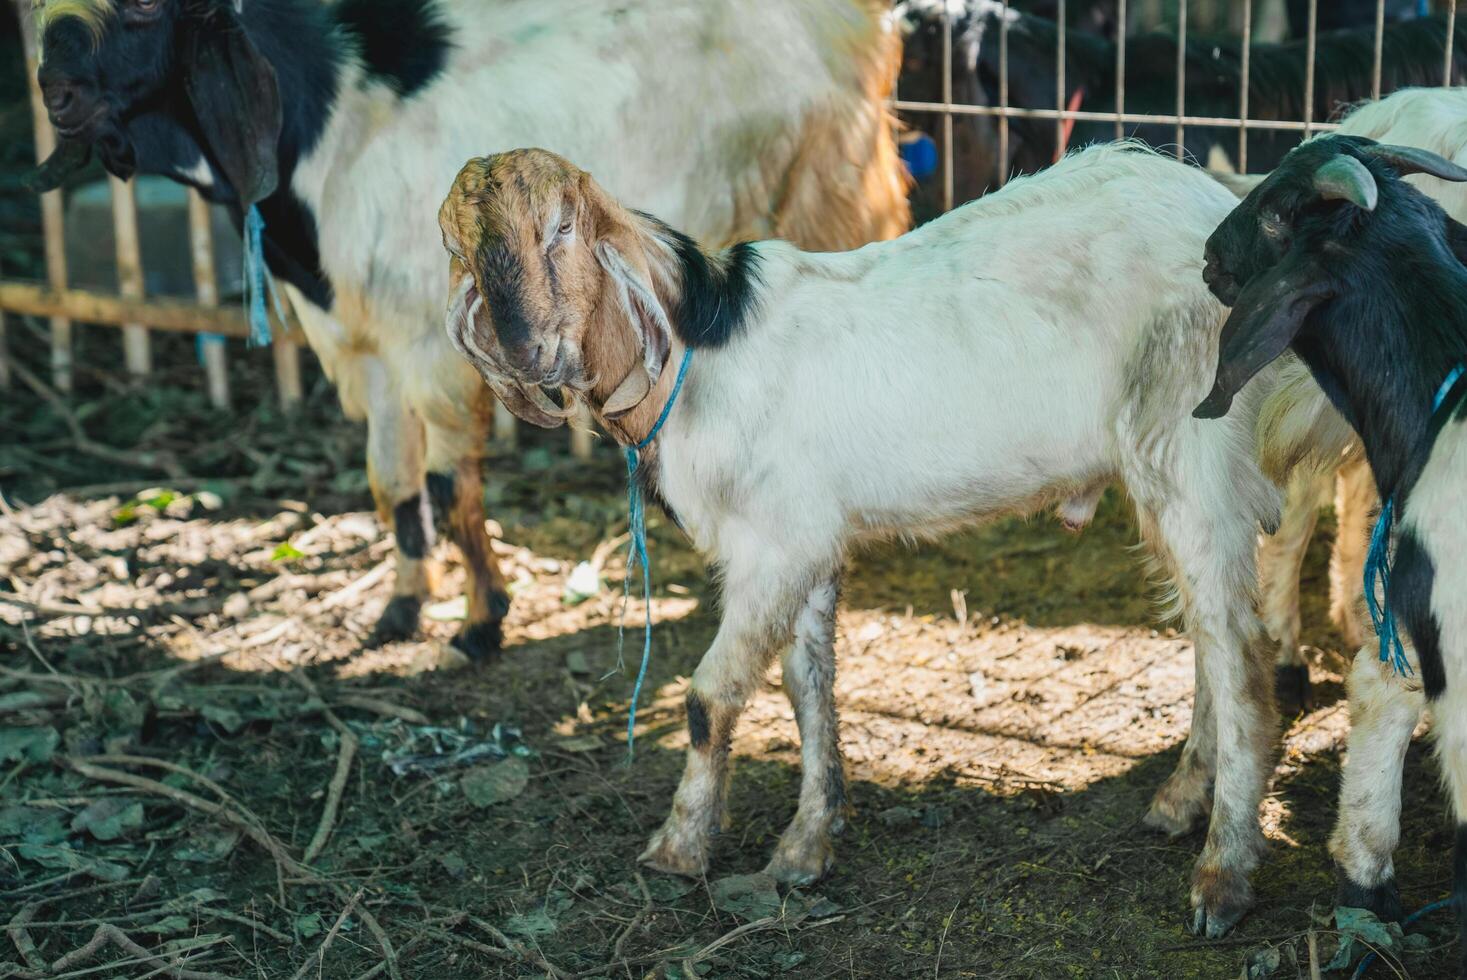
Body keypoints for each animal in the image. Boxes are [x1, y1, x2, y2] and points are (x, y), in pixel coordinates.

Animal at [28, 0, 909, 657]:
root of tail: (857, 26)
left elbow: (450, 484)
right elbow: (390, 481)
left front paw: (482, 619)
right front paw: (401, 609)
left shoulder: (432, 344)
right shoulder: (362, 343)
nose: (53, 91)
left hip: (821, 192)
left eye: (146, 8)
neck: (329, 117)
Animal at [431, 143, 1296, 933]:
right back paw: (1181, 800)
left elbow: (709, 698)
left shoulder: (772, 548)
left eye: (562, 228)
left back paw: (1222, 874)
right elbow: (807, 688)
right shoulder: (806, 540)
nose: (529, 352)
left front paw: (678, 847)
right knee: (1208, 637)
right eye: (457, 249)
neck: (698, 349)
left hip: (1194, 449)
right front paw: (806, 846)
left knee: (1242, 655)